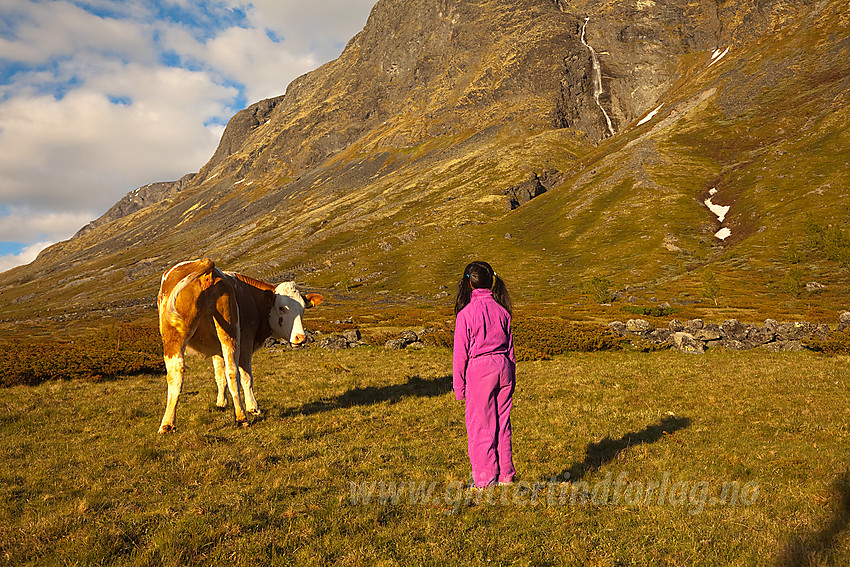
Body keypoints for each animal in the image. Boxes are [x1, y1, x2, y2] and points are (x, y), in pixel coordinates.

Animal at [156, 260, 322, 432]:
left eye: (303, 309)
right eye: (282, 307)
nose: (301, 337)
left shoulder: (216, 346)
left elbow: (219, 374)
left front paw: (221, 403)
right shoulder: (246, 341)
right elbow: (246, 376)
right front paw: (252, 407)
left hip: (172, 336)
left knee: (175, 373)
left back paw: (167, 424)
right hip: (231, 334)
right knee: (232, 372)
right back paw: (241, 417)